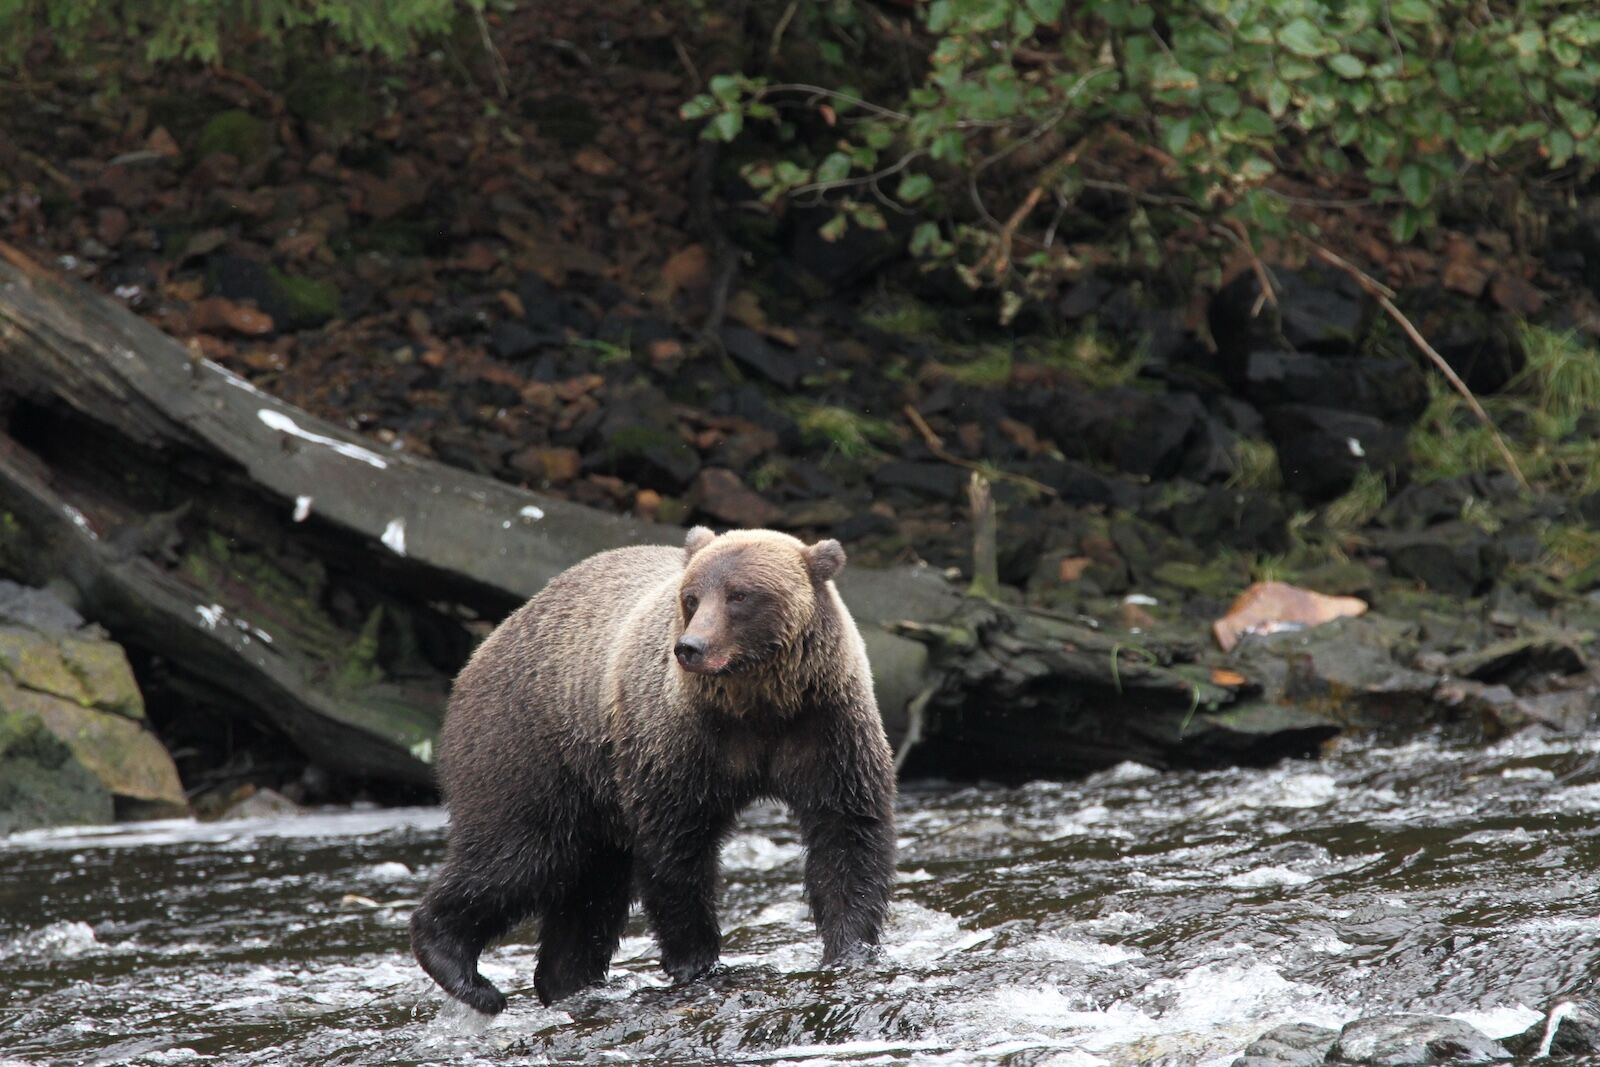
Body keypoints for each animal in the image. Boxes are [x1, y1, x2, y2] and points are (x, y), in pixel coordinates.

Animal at [410, 526, 897, 1014]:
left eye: (740, 595)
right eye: (691, 597)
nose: (691, 648)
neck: (757, 704)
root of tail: (482, 650)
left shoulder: (823, 727)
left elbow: (846, 831)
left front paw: (850, 948)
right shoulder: (678, 739)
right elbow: (676, 848)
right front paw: (698, 961)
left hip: (592, 792)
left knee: (590, 891)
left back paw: (570, 982)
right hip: (529, 748)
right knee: (518, 856)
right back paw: (463, 971)